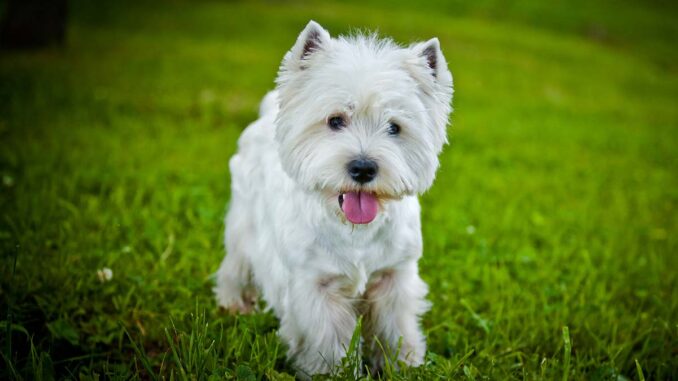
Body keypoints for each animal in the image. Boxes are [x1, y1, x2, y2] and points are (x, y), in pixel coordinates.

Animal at [215, 20, 454, 374]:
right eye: (335, 120)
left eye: (394, 127)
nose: (363, 168)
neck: (356, 231)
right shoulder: (315, 286)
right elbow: (327, 340)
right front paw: (331, 372)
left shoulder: (394, 276)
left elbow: (395, 328)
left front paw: (405, 364)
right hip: (244, 224)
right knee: (236, 266)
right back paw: (234, 305)